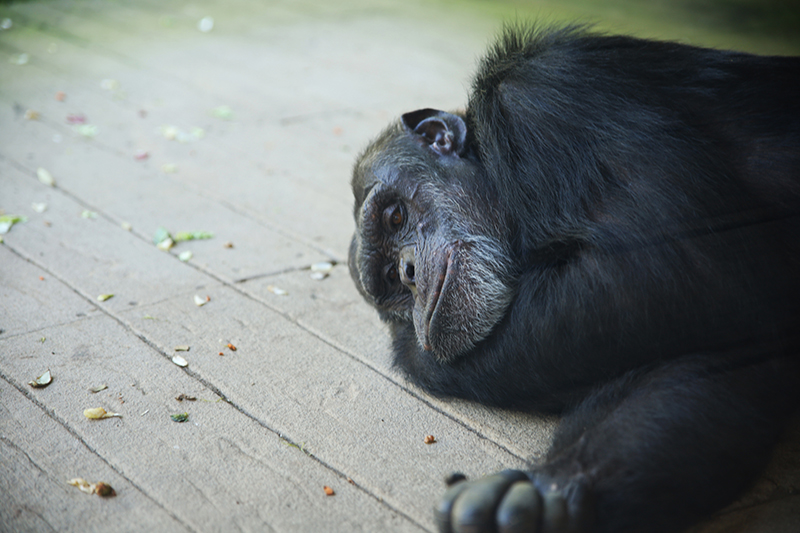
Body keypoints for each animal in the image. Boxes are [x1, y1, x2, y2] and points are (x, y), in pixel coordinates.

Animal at [346, 26, 796, 532]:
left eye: (395, 215)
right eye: (388, 278)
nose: (408, 274)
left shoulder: (543, 99)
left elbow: (679, 264)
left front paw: (410, 353)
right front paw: (547, 492)